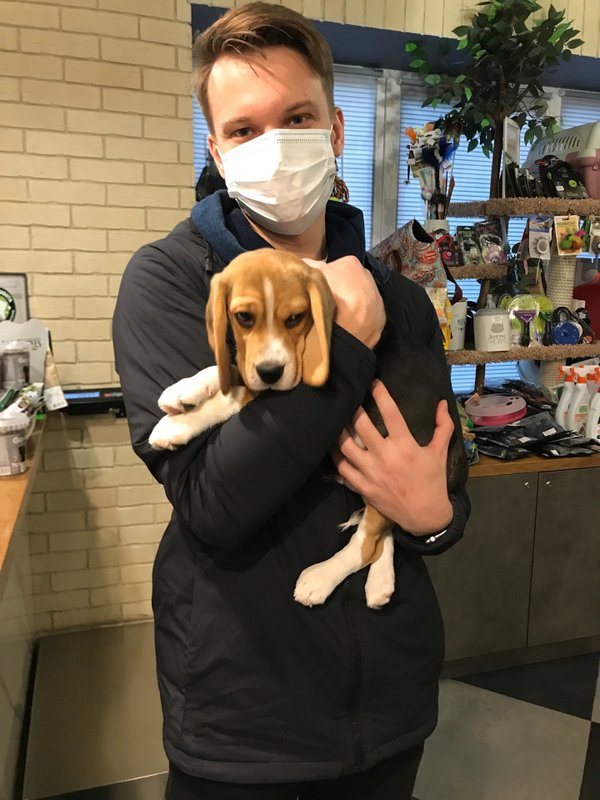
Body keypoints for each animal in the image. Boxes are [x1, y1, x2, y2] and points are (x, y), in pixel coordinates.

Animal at [149, 248, 467, 609]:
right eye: (243, 317)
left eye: (294, 318)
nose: (270, 371)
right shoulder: (255, 364)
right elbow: (228, 367)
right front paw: (185, 391)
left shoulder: (290, 377)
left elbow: (230, 398)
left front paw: (175, 426)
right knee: (383, 534)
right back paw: (380, 583)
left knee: (366, 544)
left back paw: (320, 580)